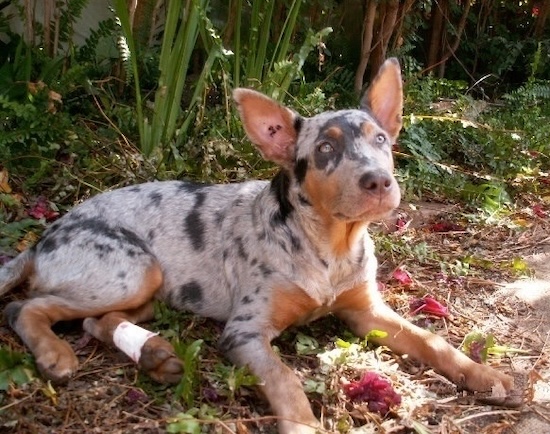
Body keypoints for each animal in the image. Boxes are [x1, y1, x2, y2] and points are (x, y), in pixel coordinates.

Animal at [1, 58, 516, 434]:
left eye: (382, 140)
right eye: (325, 150)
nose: (379, 182)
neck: (331, 244)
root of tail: (46, 236)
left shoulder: (366, 311)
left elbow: (431, 340)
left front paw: (485, 374)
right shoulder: (246, 331)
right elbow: (284, 379)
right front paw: (305, 426)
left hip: (152, 290)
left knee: (93, 320)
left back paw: (155, 356)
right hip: (135, 269)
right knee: (26, 307)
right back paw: (55, 354)